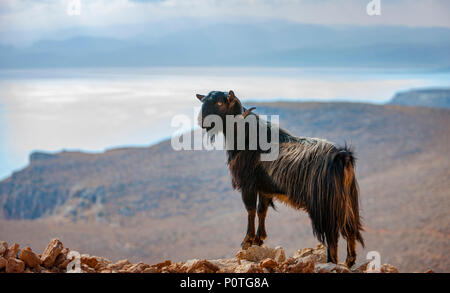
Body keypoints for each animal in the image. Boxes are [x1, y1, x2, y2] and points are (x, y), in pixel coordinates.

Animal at [195, 90, 364, 266]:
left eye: (220, 103)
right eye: (203, 100)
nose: (201, 120)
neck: (247, 136)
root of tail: (342, 156)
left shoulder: (248, 184)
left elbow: (250, 210)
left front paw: (247, 241)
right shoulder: (265, 188)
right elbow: (262, 211)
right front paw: (259, 240)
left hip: (324, 204)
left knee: (332, 234)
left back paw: (331, 261)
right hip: (347, 201)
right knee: (350, 228)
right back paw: (349, 261)